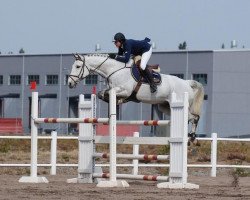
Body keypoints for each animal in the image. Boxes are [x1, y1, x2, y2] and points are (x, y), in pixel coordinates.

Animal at [67, 52, 204, 141]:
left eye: (77, 66)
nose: (69, 83)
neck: (115, 71)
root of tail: (186, 83)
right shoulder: (114, 90)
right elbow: (102, 94)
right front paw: (117, 101)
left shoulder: (125, 90)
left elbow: (111, 93)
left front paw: (119, 100)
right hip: (164, 106)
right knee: (188, 118)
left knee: (194, 118)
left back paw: (192, 136)